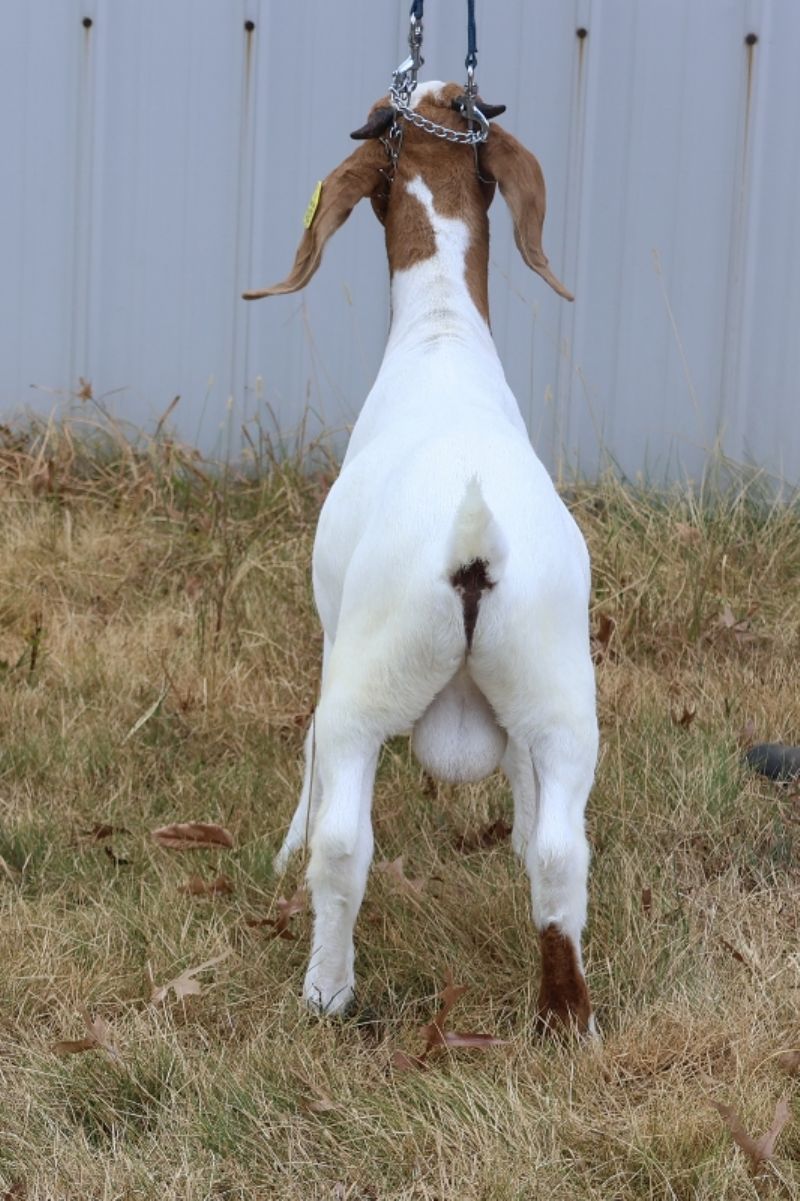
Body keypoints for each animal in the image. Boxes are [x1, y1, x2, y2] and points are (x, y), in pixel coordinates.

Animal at [244, 82, 598, 1034]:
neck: (441, 338)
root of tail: (473, 549)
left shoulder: (335, 633)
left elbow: (308, 755)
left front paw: (282, 850)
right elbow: (527, 804)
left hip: (367, 684)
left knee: (343, 841)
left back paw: (327, 989)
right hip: (562, 697)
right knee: (563, 852)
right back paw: (566, 1013)